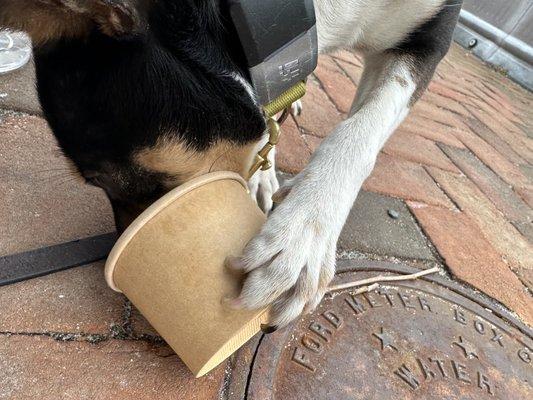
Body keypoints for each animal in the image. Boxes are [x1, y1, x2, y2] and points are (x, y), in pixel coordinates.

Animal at [1, 0, 462, 332]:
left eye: (109, 181)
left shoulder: (434, 36)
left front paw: (304, 234)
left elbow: (362, 129)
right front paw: (266, 175)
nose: (114, 272)